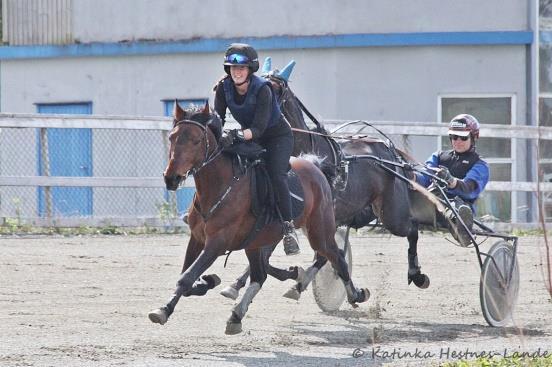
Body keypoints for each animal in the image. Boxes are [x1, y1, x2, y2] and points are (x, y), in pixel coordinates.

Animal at [149, 102, 368, 334]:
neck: (219, 186)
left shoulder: (217, 242)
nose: (171, 178)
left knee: (336, 258)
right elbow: (188, 277)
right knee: (260, 275)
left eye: (196, 140)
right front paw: (204, 283)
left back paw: (355, 294)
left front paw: (165, 309)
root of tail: (316, 167)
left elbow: (186, 278)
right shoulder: (198, 238)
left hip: (320, 232)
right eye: (172, 137)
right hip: (255, 242)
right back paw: (240, 312)